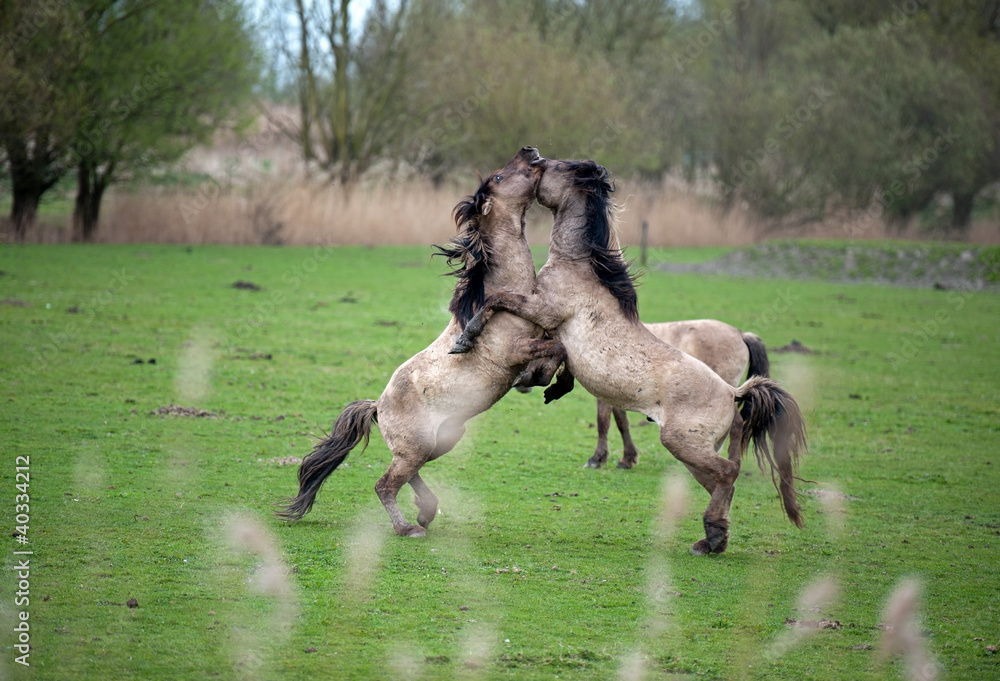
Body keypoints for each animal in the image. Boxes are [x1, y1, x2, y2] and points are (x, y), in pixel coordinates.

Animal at [277, 147, 566, 537]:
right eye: (499, 177)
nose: (530, 151)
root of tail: (377, 406)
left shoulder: (537, 335)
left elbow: (555, 347)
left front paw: (535, 378)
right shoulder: (516, 349)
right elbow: (556, 348)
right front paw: (529, 377)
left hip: (441, 440)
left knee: (407, 473)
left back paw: (426, 511)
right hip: (419, 446)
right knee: (385, 484)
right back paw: (408, 528)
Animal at [589, 320, 770, 470]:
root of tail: (740, 334)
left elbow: (603, 421)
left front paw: (596, 459)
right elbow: (621, 422)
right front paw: (627, 458)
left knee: (737, 423)